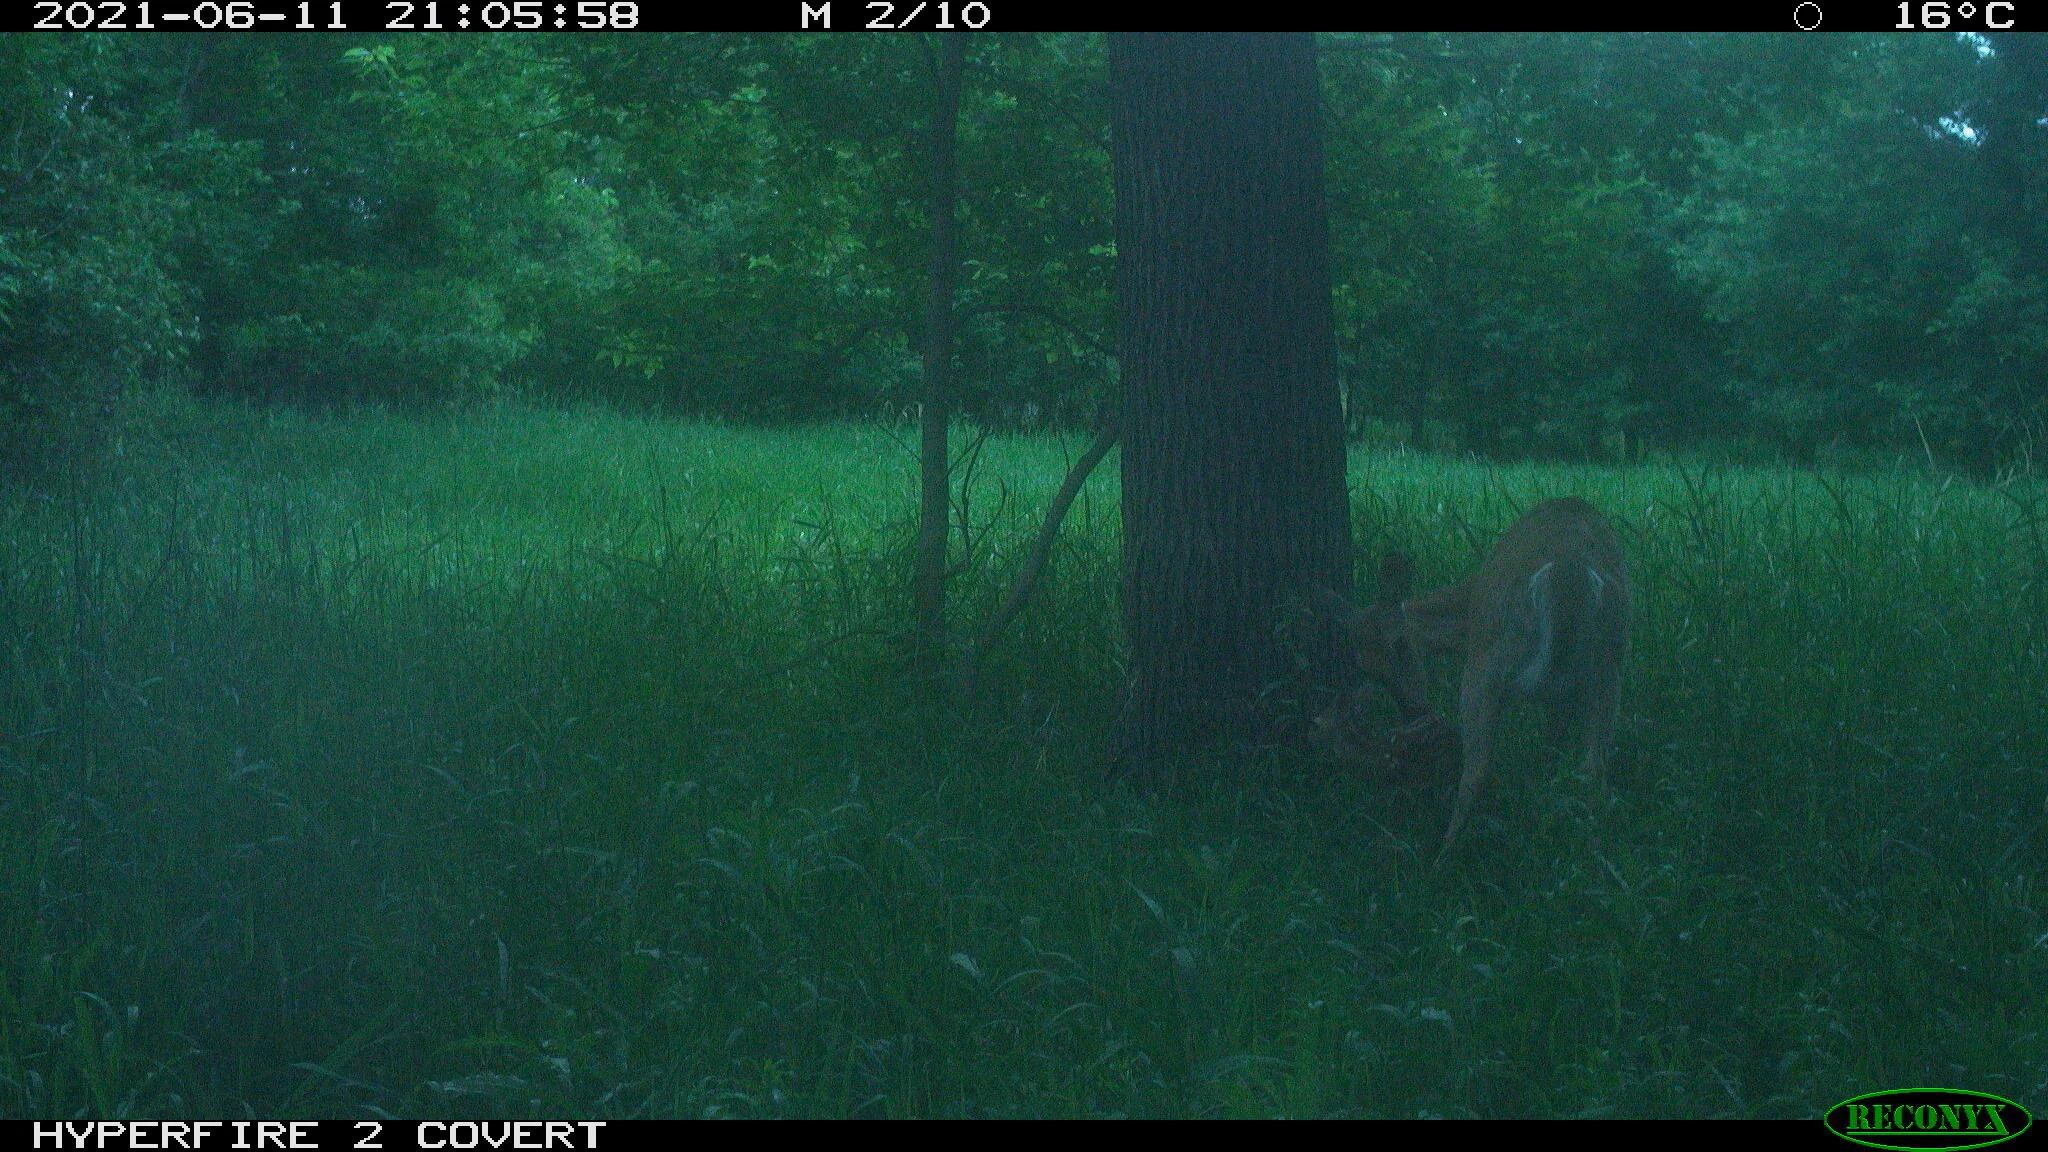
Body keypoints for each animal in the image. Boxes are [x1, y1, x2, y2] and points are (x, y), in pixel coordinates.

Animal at [1314, 497, 1631, 857]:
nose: (1413, 708)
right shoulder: (1560, 693)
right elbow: (1554, 748)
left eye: (1402, 644)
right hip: (1609, 664)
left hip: (1487, 666)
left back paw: (1442, 858)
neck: (1465, 610)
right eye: (1367, 669)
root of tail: (1568, 573)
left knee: (1477, 770)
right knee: (1593, 767)